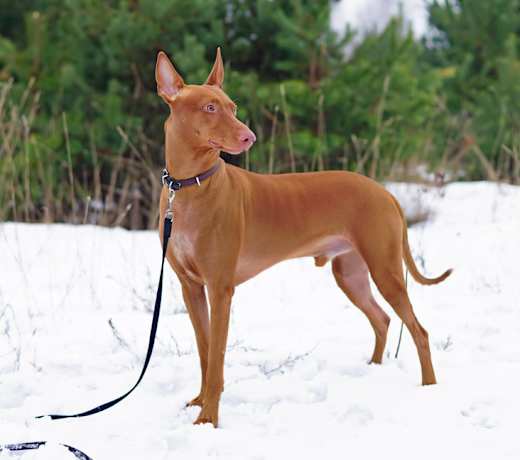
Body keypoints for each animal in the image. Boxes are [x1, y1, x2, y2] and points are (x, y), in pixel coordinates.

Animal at [155, 48, 452, 427]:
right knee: (382, 319)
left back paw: (429, 387)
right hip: (350, 274)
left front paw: (208, 419)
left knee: (418, 330)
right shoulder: (191, 288)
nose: (249, 137)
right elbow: (205, 352)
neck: (189, 187)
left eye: (232, 107)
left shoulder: (220, 290)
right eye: (209, 107)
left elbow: (217, 360)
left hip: (385, 271)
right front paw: (199, 402)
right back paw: (373, 369)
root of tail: (384, 191)